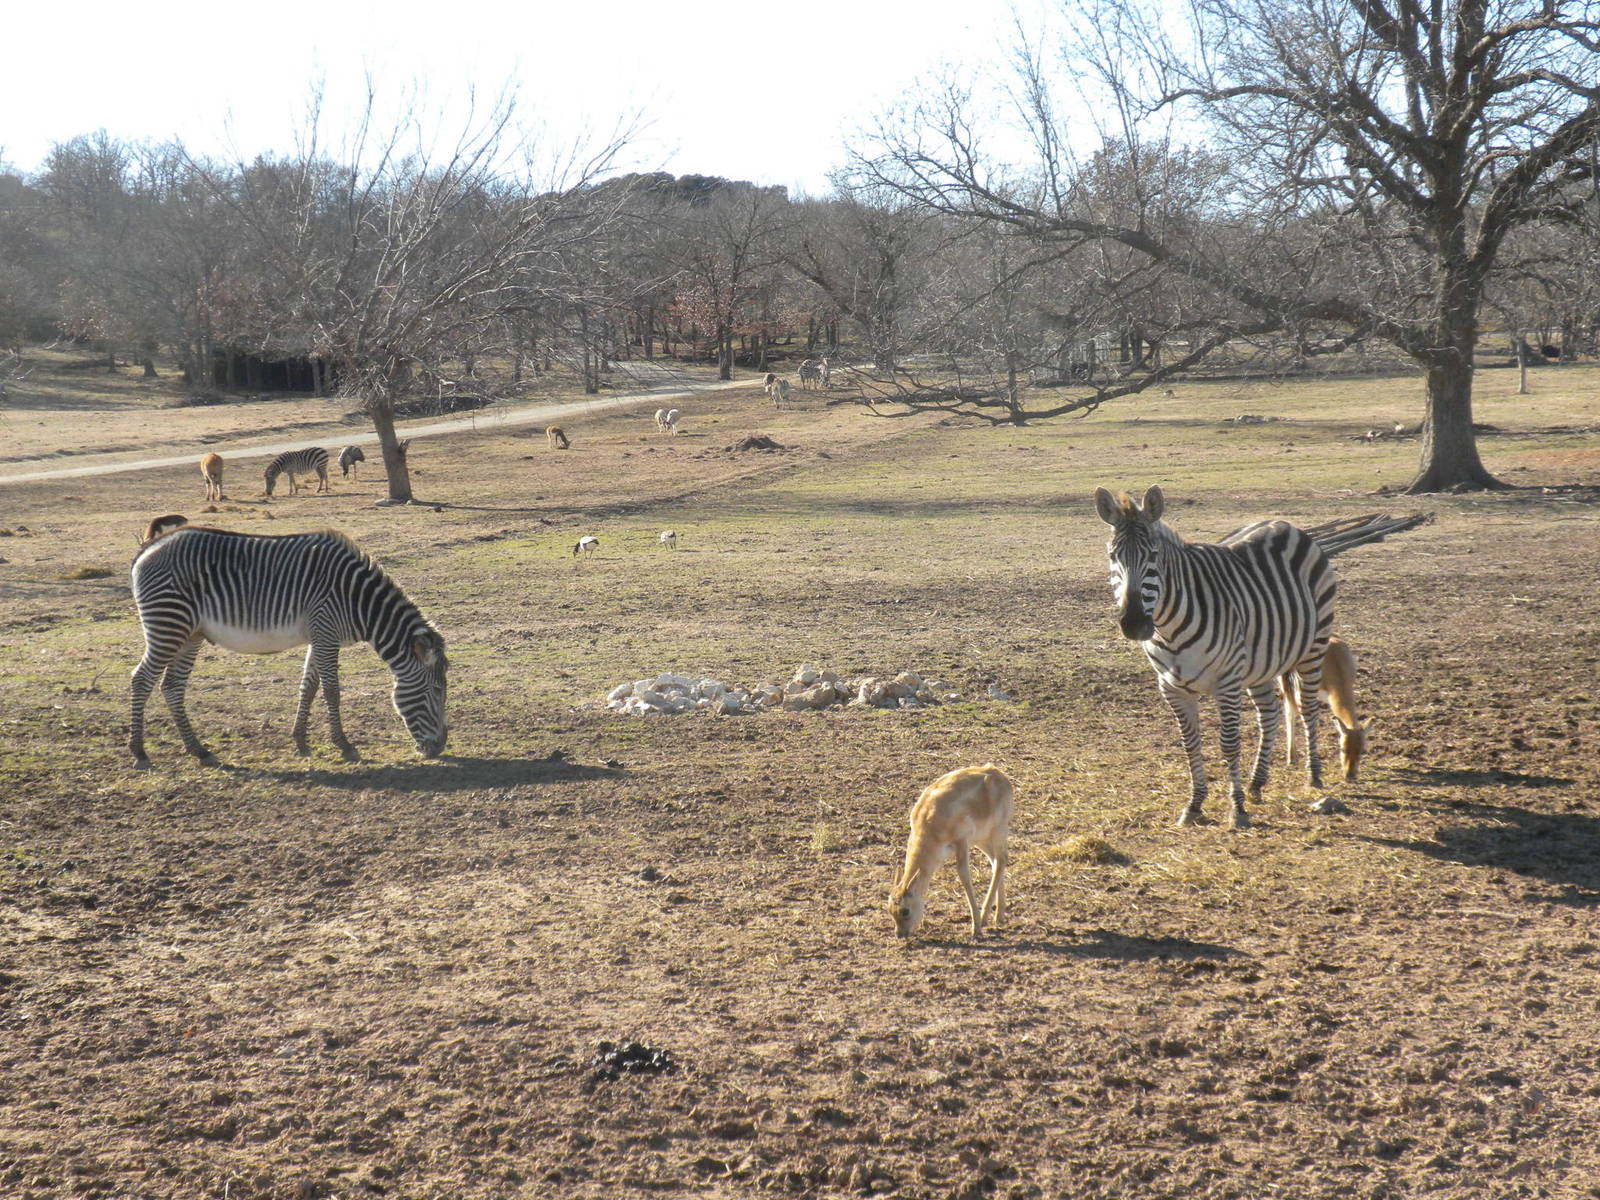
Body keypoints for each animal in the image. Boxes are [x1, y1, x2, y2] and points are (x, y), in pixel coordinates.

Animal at [128, 526, 447, 767]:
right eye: (436, 691)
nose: (440, 748)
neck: (360, 601)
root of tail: (147, 550)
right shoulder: (327, 634)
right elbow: (332, 692)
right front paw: (344, 745)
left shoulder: (319, 637)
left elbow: (309, 687)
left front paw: (301, 741)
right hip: (168, 625)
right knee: (141, 679)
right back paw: (139, 751)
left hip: (189, 634)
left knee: (172, 686)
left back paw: (198, 750)